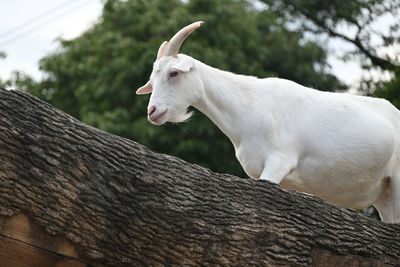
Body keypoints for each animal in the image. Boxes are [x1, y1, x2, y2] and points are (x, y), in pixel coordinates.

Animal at [137, 21, 400, 224]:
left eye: (173, 73)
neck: (248, 106)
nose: (153, 111)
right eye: (153, 80)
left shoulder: (278, 161)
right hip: (383, 195)